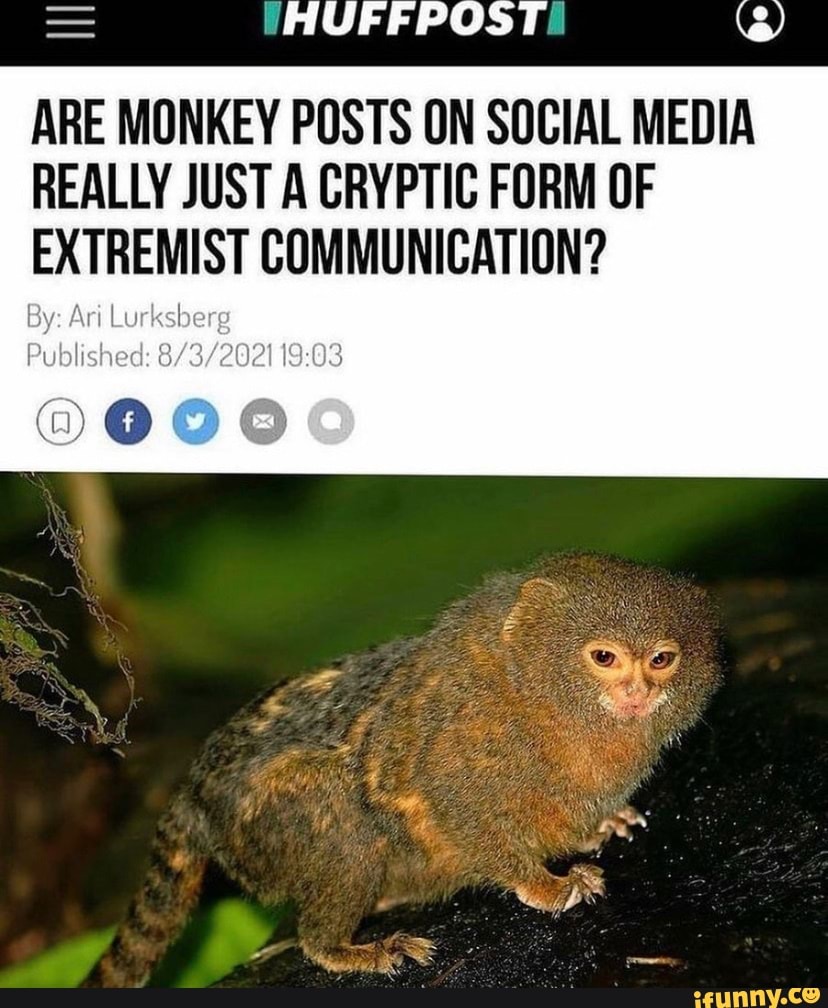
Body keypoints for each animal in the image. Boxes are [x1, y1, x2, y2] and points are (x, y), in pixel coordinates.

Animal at [83, 552, 723, 986]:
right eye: (604, 657)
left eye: (661, 659)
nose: (638, 691)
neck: (537, 696)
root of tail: (194, 796)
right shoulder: (464, 746)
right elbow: (458, 808)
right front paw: (546, 884)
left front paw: (599, 825)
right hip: (271, 824)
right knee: (342, 822)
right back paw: (342, 946)